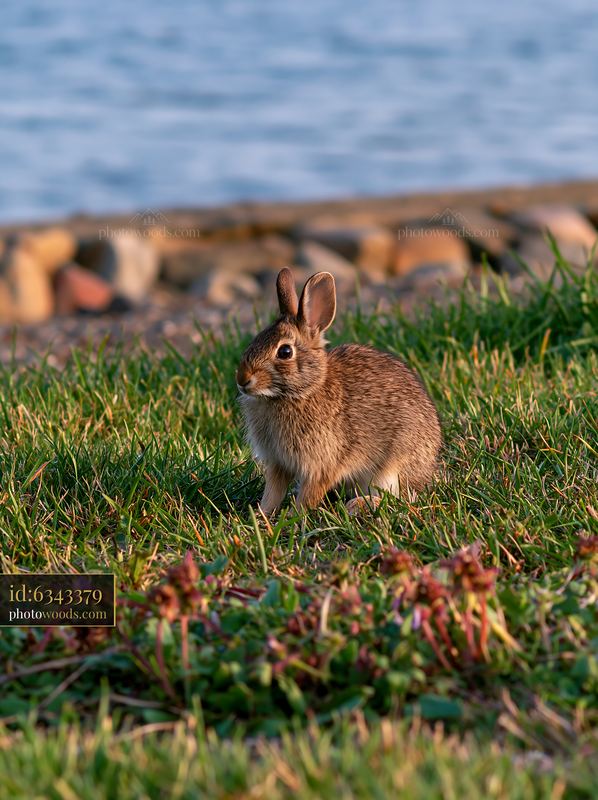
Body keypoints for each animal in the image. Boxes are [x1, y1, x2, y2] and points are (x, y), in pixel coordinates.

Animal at [236, 267, 442, 514]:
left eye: (285, 352)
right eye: (254, 340)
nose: (242, 379)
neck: (301, 391)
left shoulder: (323, 462)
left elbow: (310, 493)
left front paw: (293, 516)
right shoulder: (278, 462)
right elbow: (273, 492)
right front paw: (262, 514)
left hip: (390, 469)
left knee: (399, 498)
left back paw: (359, 504)